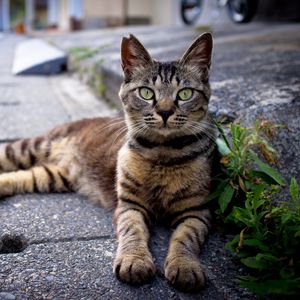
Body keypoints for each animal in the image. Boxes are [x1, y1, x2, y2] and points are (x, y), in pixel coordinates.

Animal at [0, 32, 216, 290]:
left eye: (184, 94)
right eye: (146, 93)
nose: (164, 112)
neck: (163, 154)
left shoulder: (197, 212)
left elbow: (186, 238)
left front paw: (184, 266)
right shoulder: (129, 205)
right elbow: (133, 232)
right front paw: (135, 260)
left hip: (52, 177)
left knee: (18, 176)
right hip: (29, 148)